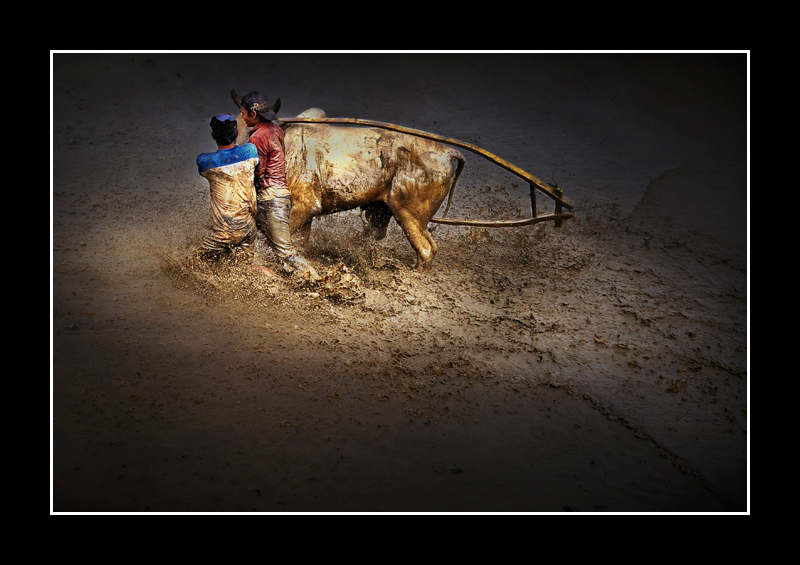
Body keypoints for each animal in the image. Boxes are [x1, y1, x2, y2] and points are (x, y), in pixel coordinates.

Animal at [234, 108, 466, 274]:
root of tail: (448, 152)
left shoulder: (302, 206)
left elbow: (280, 243)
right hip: (388, 211)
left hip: (409, 213)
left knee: (426, 250)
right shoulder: (306, 214)